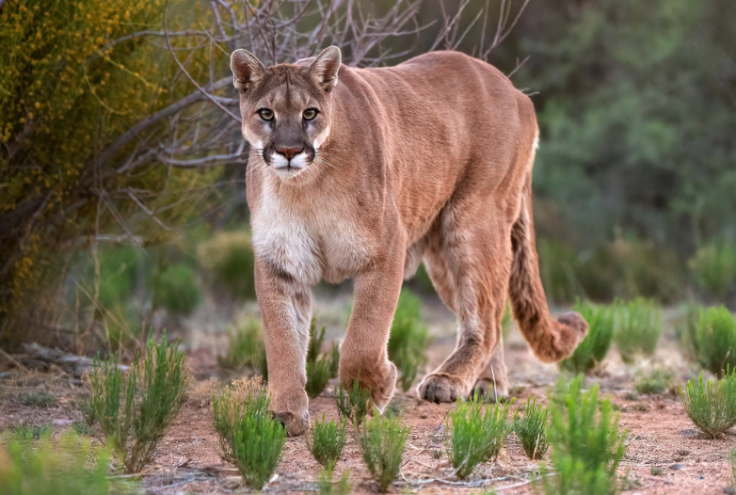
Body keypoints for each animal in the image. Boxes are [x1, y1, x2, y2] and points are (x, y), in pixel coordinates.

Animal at [230, 46, 588, 436]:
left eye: (309, 113)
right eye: (266, 113)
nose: (289, 151)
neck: (305, 186)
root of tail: (515, 91)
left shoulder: (386, 249)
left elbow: (364, 337)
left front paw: (371, 393)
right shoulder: (279, 263)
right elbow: (282, 341)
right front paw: (285, 414)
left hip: (474, 222)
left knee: (487, 319)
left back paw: (447, 381)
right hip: (444, 259)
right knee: (488, 311)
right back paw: (487, 385)